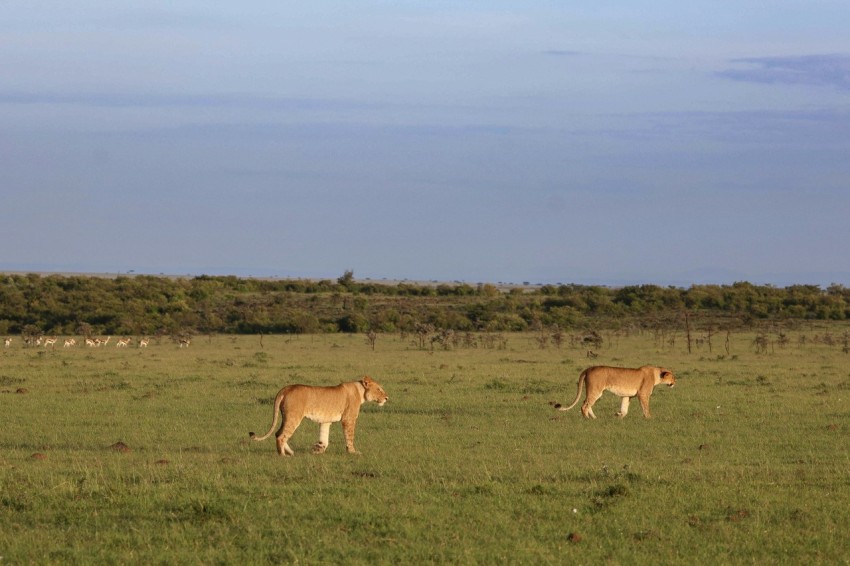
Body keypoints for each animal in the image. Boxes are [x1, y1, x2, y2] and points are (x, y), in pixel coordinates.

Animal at [248, 378, 388, 458]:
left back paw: (291, 452)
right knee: (281, 436)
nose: (387, 398)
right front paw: (353, 452)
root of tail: (287, 388)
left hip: (286, 416)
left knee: (277, 433)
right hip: (294, 417)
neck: (361, 391)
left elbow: (324, 438)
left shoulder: (326, 421)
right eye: (379, 389)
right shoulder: (348, 419)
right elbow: (350, 436)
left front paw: (317, 449)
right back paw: (282, 455)